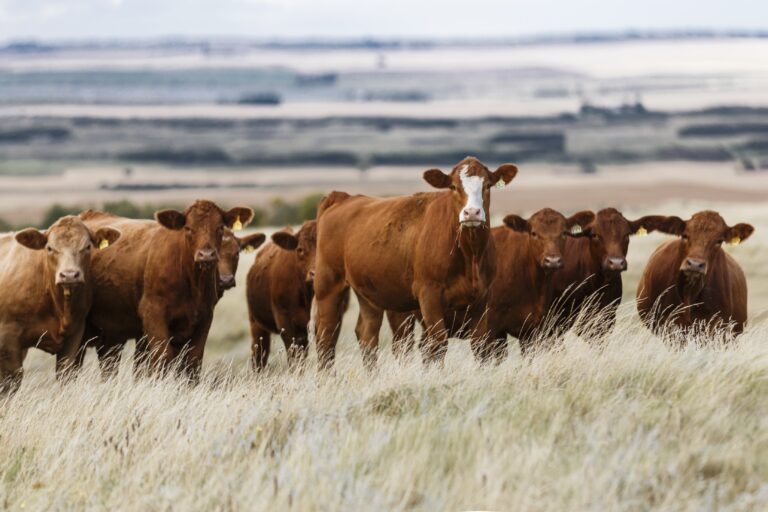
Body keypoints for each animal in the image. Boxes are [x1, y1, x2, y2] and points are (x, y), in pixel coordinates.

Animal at [0, 216, 120, 394]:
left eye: (87, 246)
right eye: (49, 248)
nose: (69, 275)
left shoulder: (74, 335)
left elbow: (67, 375)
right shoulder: (8, 339)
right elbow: (10, 383)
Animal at [79, 200, 254, 380]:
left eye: (219, 227)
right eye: (188, 228)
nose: (206, 255)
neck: (192, 284)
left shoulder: (203, 319)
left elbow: (192, 363)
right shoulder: (153, 317)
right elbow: (161, 360)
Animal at [246, 220, 317, 371]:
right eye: (300, 249)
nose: (315, 273)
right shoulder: (285, 322)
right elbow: (294, 357)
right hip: (256, 324)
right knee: (259, 355)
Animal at [314, 156, 518, 369]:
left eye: (487, 186)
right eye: (453, 186)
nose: (471, 213)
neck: (470, 256)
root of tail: (343, 198)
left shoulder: (482, 298)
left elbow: (480, 346)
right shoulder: (429, 295)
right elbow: (437, 344)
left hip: (368, 292)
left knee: (367, 335)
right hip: (328, 285)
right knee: (326, 336)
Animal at [386, 208, 594, 362]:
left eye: (564, 233)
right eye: (534, 233)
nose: (553, 260)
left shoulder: (531, 330)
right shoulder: (492, 330)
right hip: (400, 316)